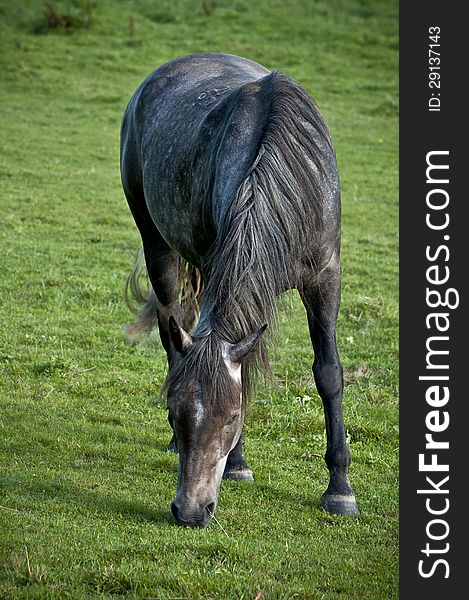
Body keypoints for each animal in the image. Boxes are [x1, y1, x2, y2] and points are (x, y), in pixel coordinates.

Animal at [120, 54, 358, 528]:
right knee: (170, 331)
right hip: (158, 248)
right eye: (174, 409)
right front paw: (239, 464)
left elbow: (328, 373)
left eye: (232, 416)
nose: (190, 511)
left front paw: (340, 489)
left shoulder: (325, 278)